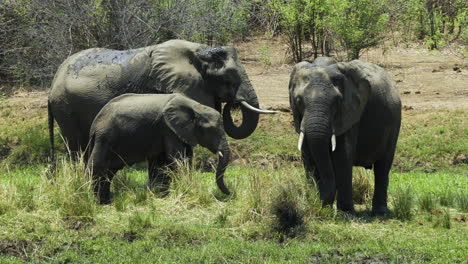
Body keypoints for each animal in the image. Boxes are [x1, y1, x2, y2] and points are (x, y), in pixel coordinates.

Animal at [47, 38, 274, 160]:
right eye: (229, 79)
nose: (232, 102)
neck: (200, 50)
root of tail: (52, 83)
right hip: (65, 108)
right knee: (77, 146)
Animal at [86, 93, 232, 204]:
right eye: (210, 130)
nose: (230, 192)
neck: (195, 107)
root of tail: (94, 124)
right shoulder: (168, 129)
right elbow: (176, 159)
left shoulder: (178, 132)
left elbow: (180, 159)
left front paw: (162, 196)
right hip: (104, 138)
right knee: (97, 165)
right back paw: (95, 201)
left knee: (109, 171)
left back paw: (106, 201)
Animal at [288, 57, 402, 214]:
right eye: (298, 101)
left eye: (336, 102)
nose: (319, 204)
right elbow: (308, 157)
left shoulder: (351, 113)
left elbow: (342, 156)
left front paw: (346, 214)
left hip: (394, 123)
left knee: (383, 167)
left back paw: (381, 212)